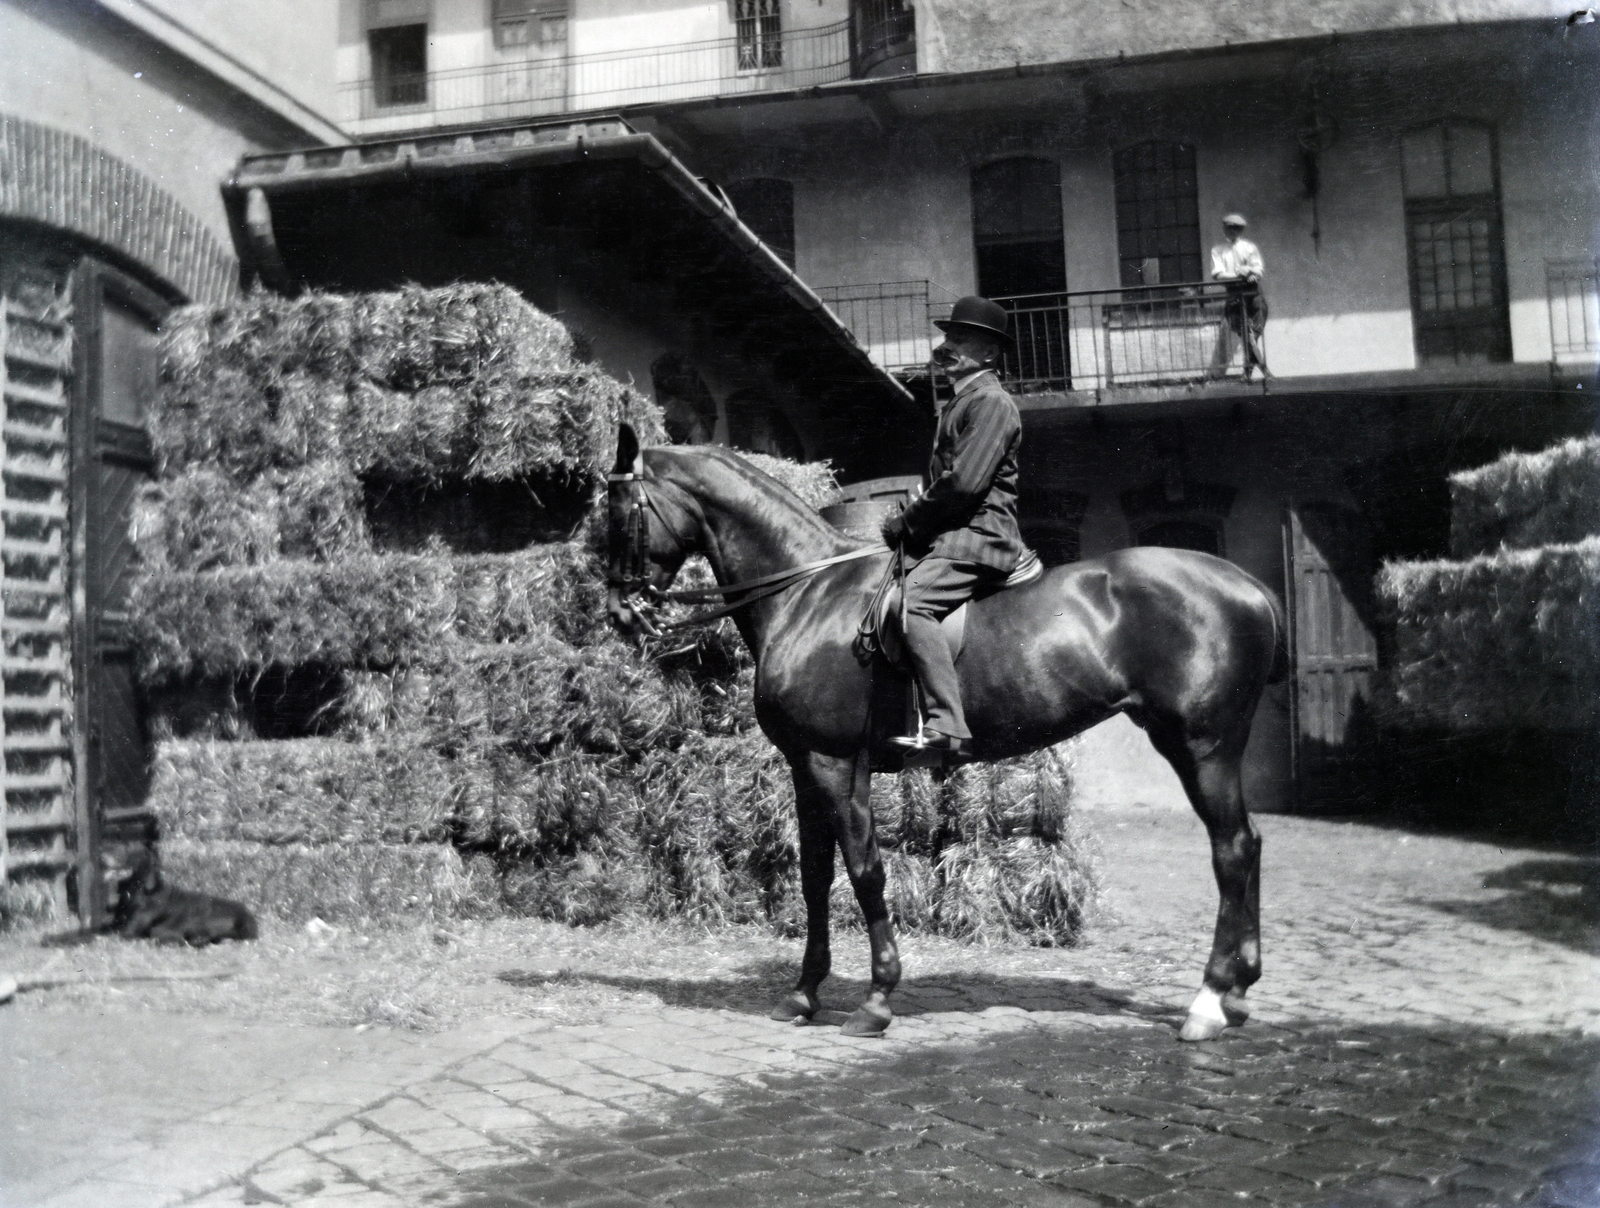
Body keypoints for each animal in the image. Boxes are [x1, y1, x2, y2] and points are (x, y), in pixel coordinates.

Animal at [601, 425, 1286, 1036]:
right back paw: (1236, 992)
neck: (807, 592)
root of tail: (1246, 586)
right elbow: (815, 878)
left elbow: (865, 871)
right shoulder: (804, 767)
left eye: (620, 511)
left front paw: (878, 998)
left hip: (1203, 746)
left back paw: (1210, 1000)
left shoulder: (834, 763)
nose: (619, 614)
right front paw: (802, 994)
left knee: (1232, 849)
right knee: (1247, 845)